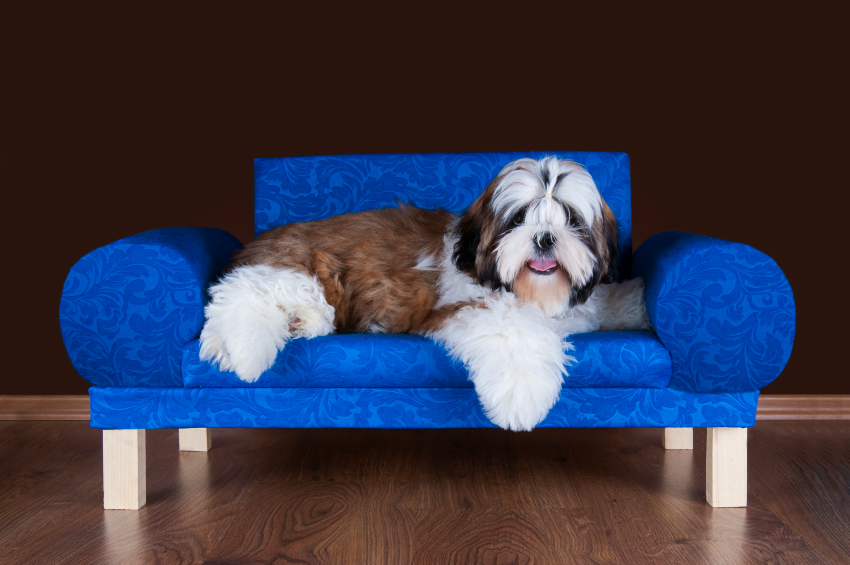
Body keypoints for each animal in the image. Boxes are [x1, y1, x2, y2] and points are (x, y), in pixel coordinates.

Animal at [199, 156, 648, 430]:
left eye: (571, 219)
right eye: (519, 218)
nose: (544, 238)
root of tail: (256, 244)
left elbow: (606, 302)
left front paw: (638, 303)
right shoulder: (460, 306)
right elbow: (514, 328)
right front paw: (522, 399)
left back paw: (286, 326)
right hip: (301, 268)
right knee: (242, 292)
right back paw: (244, 349)